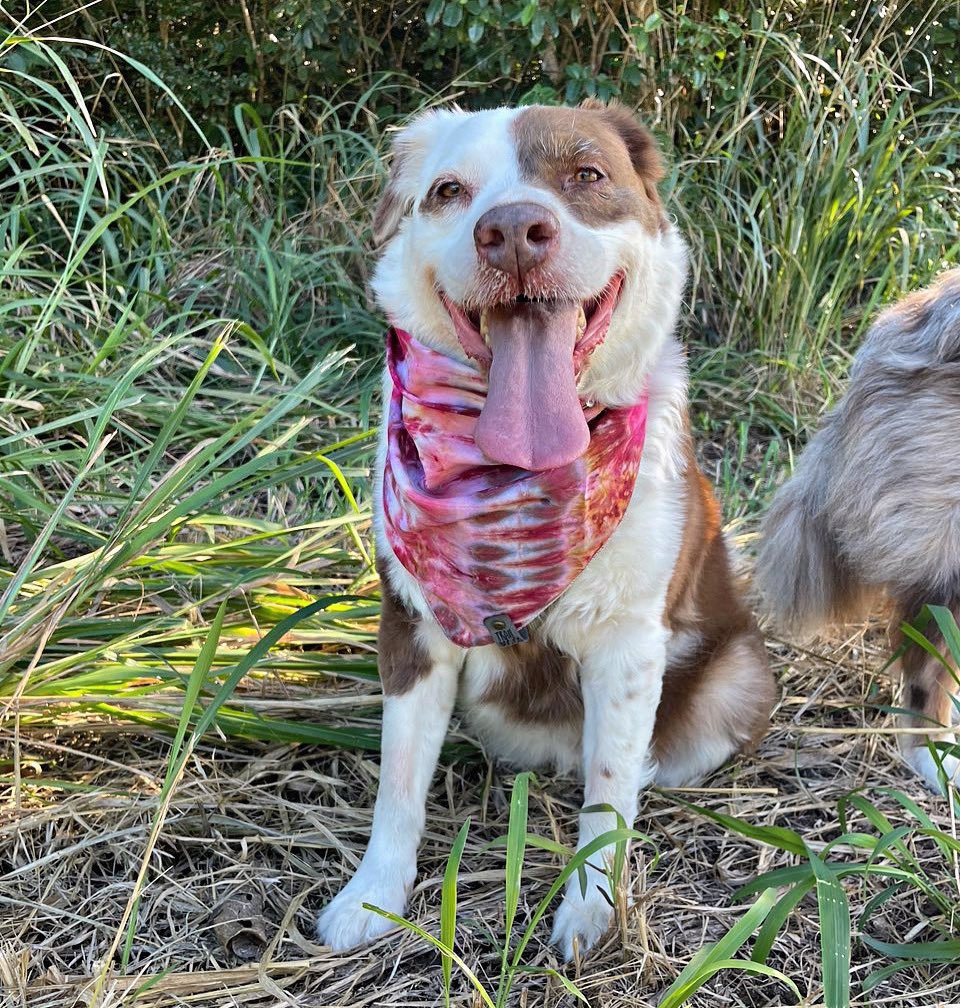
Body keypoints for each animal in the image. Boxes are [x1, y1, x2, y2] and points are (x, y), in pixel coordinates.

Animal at [318, 104, 774, 959]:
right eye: (449, 191)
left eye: (586, 175)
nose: (514, 232)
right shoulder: (412, 625)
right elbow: (398, 779)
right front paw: (372, 897)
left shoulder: (629, 642)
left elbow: (609, 792)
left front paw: (591, 910)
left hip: (737, 678)